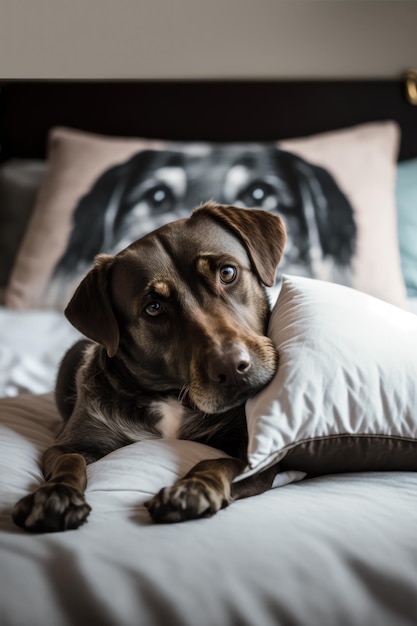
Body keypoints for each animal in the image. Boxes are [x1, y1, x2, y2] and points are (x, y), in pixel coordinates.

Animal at [12, 202, 286, 528]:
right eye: (154, 308)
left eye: (228, 273)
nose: (232, 368)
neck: (172, 396)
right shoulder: (72, 441)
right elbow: (69, 459)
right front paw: (56, 494)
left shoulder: (257, 452)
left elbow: (220, 461)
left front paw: (192, 490)